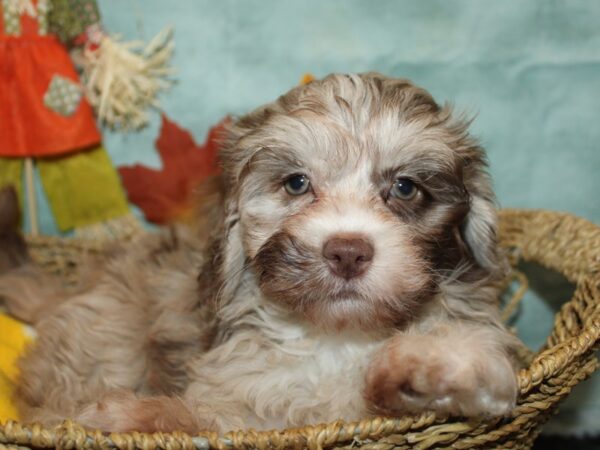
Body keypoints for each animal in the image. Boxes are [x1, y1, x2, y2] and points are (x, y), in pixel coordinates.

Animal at [0, 73, 516, 432]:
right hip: (107, 338)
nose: (347, 252)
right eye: (297, 183)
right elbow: (203, 420)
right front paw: (129, 417)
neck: (334, 338)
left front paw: (428, 364)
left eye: (406, 188)